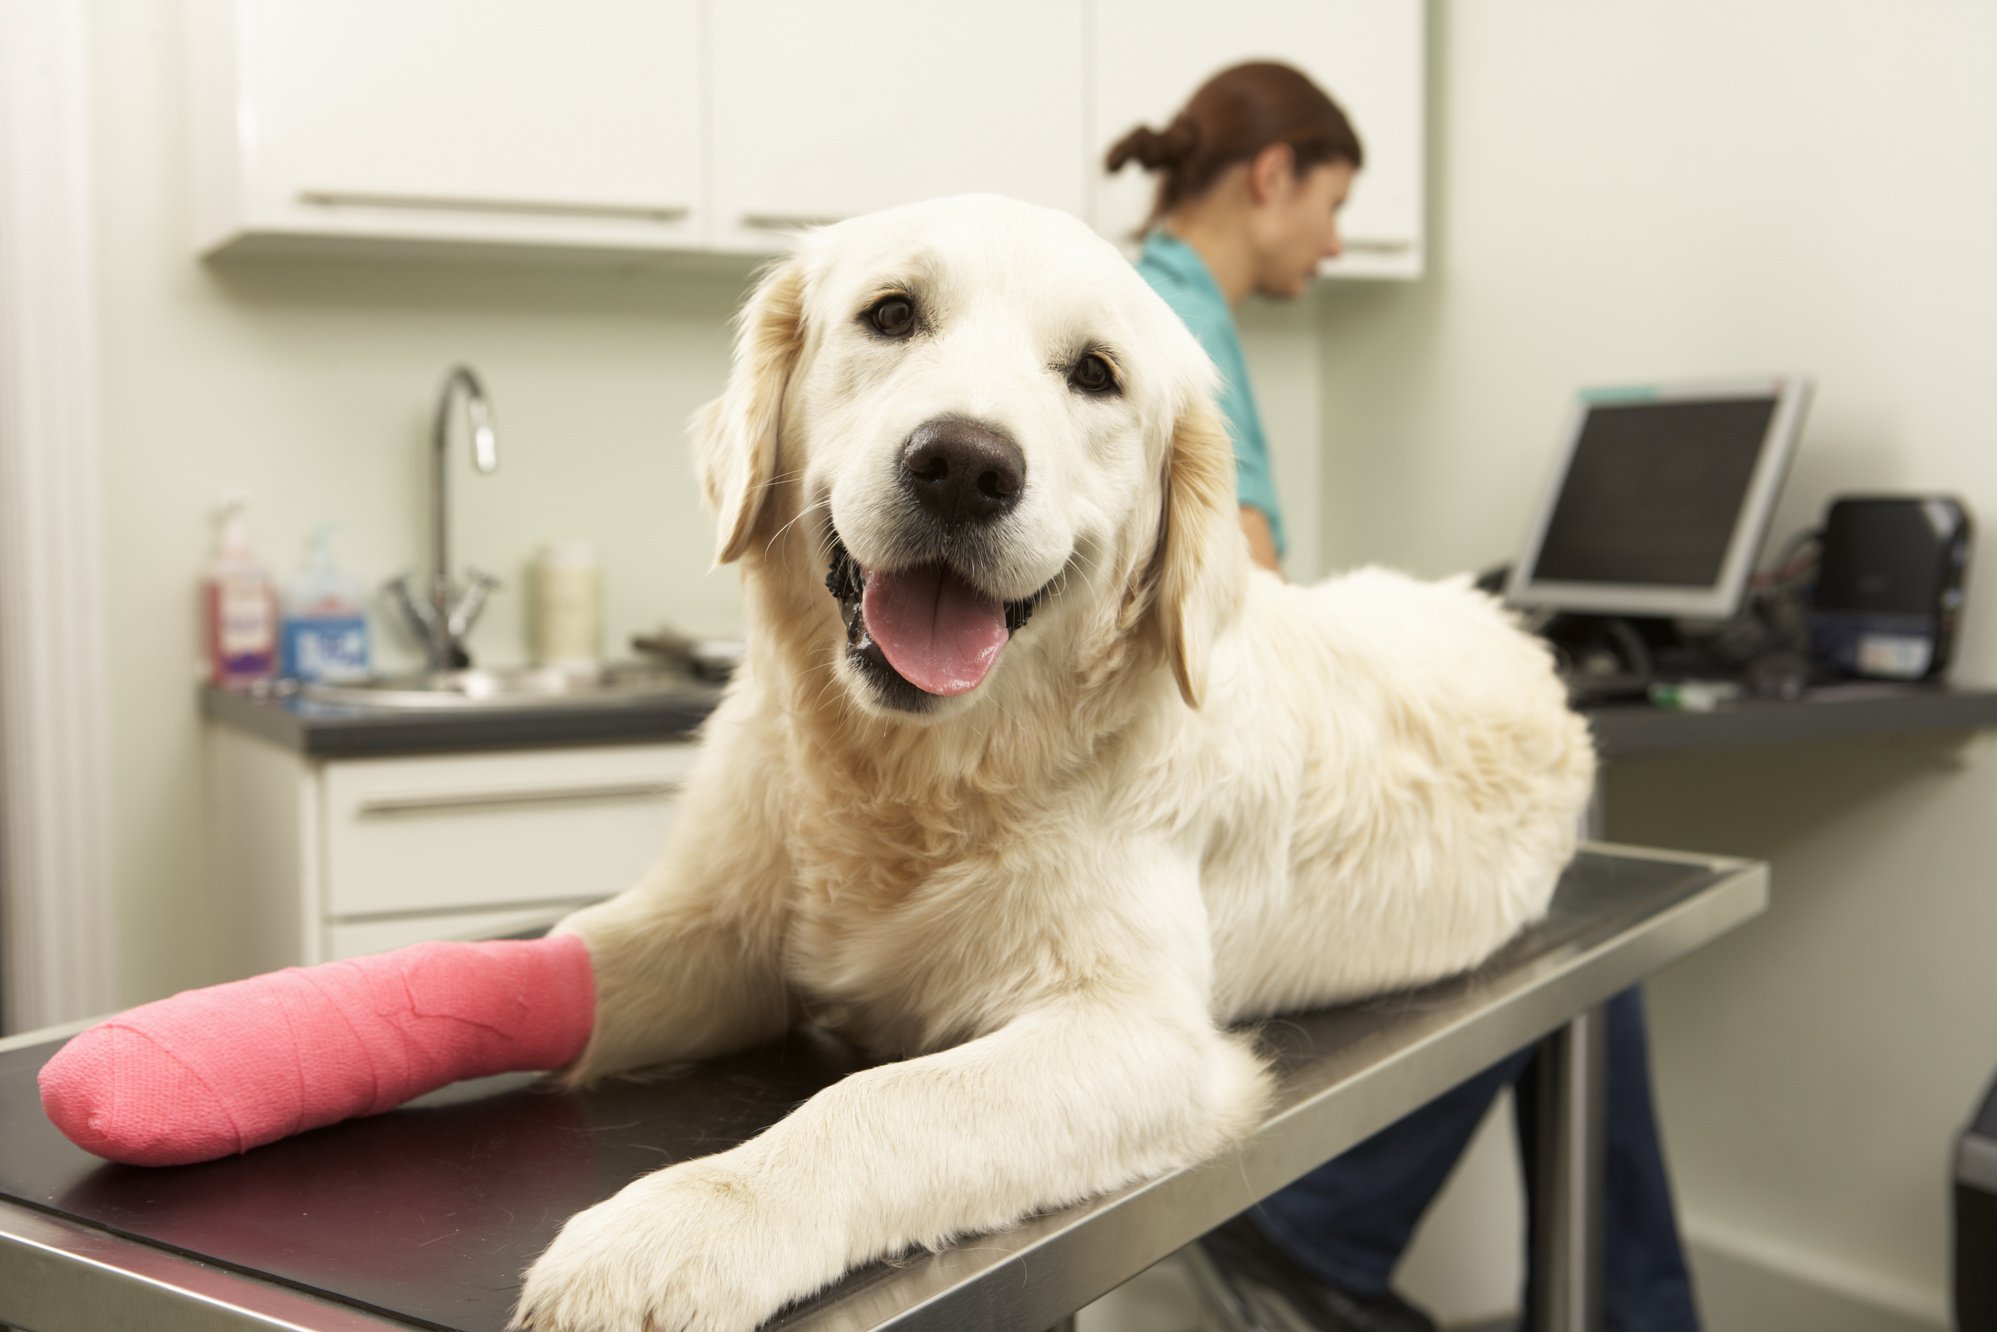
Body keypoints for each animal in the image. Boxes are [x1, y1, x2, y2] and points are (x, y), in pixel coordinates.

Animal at [511, 189, 1589, 1332]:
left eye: (1095, 374)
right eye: (891, 314)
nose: (963, 465)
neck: (916, 774)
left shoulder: (1138, 1034)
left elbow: (883, 1099)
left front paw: (675, 1229)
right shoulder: (717, 928)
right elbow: (574, 957)